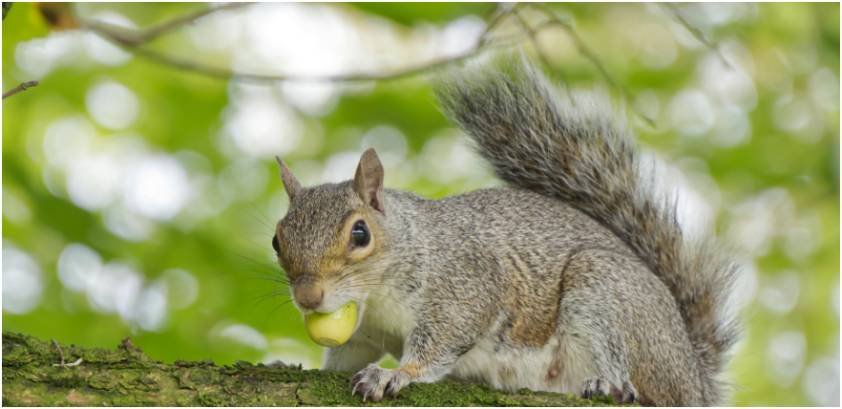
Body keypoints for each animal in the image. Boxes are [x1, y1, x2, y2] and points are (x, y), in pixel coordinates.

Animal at [271, 57, 740, 406]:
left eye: (360, 234)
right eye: (277, 240)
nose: (308, 297)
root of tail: (692, 375)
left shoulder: (465, 286)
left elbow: (440, 341)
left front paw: (396, 373)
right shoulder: (364, 335)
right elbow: (344, 359)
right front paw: (290, 367)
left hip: (605, 294)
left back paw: (610, 384)